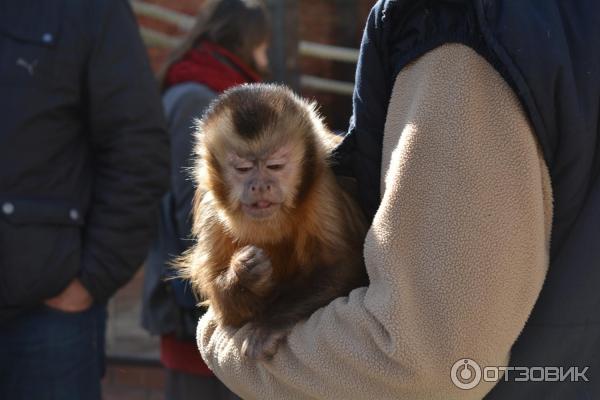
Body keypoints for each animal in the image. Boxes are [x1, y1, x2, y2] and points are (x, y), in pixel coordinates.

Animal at [179, 83, 366, 360]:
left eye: (275, 166)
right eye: (243, 169)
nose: (260, 186)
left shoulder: (323, 186)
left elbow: (344, 266)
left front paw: (269, 325)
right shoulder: (212, 206)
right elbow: (225, 309)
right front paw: (245, 272)